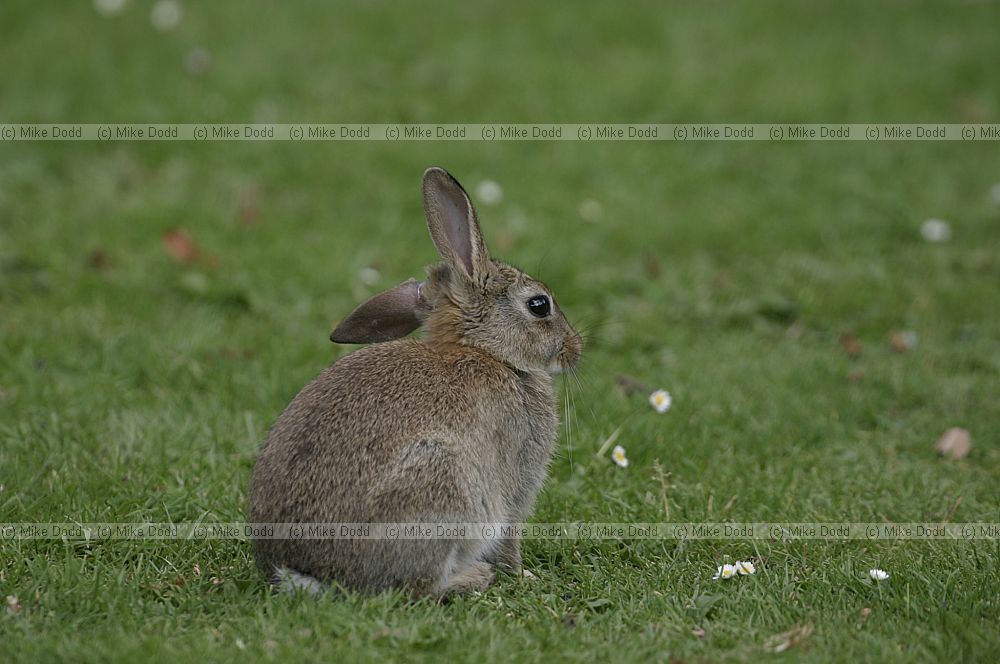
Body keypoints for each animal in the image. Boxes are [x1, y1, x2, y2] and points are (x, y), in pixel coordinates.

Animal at [248, 167, 582, 599]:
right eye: (539, 305)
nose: (575, 349)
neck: (490, 354)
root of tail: (308, 573)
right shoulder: (516, 483)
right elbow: (510, 537)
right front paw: (523, 575)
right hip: (443, 487)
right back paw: (474, 577)